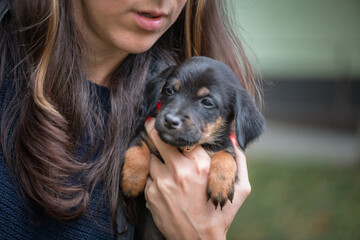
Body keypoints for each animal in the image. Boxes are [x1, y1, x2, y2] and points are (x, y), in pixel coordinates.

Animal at [121, 56, 264, 238]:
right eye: (169, 90)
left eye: (207, 102)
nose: (170, 121)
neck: (184, 146)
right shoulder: (144, 134)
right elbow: (137, 148)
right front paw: (132, 181)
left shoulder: (226, 147)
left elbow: (225, 157)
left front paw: (220, 186)